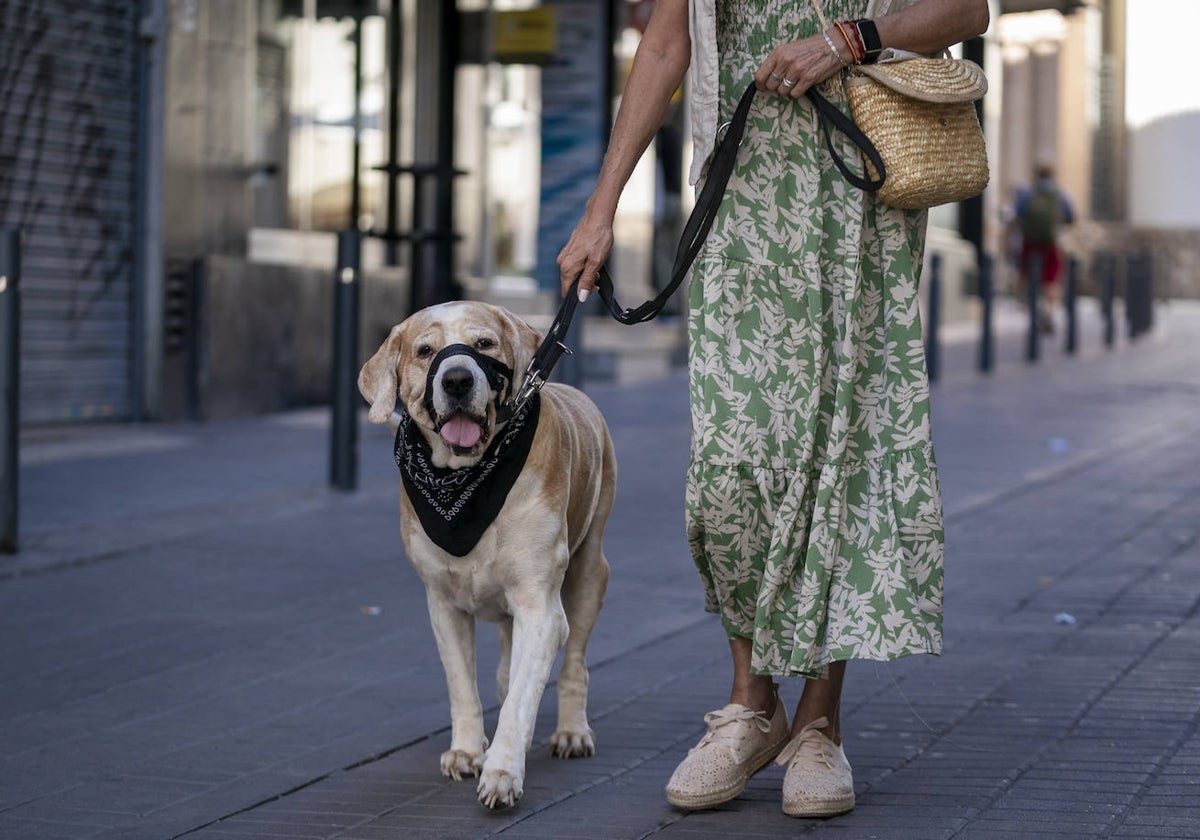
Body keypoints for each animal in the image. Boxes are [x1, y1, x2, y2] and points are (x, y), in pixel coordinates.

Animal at [355, 300, 614, 806]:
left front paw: (502, 772)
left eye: (485, 344)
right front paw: (467, 752)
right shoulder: (443, 605)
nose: (456, 379)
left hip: (589, 572)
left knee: (572, 662)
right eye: (425, 351)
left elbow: (521, 698)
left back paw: (572, 732)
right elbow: (463, 687)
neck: (467, 482)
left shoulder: (540, 607)